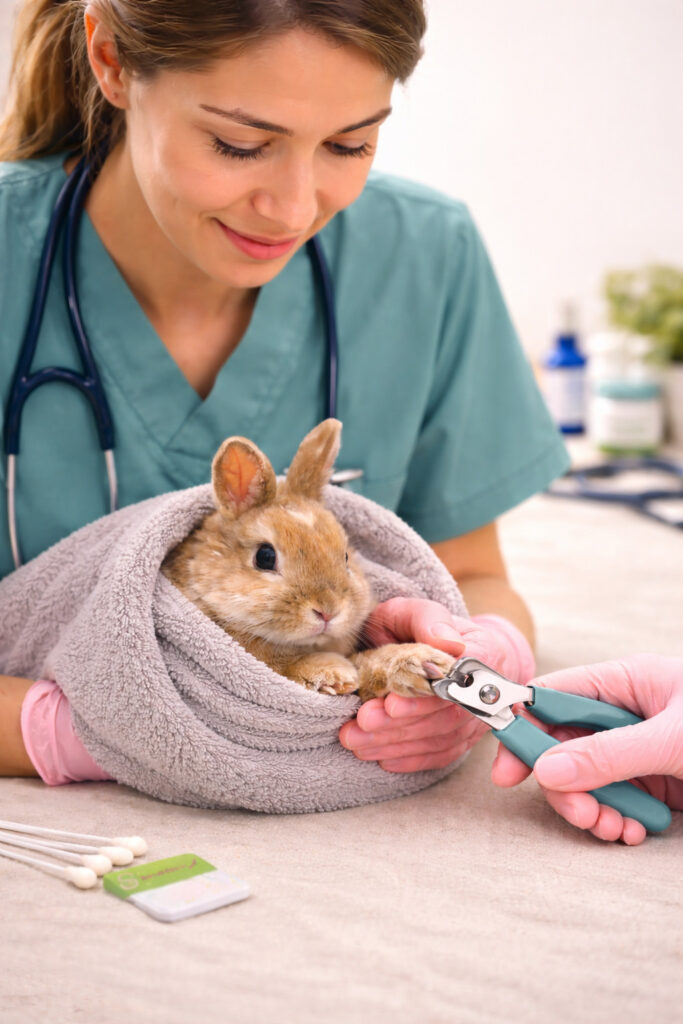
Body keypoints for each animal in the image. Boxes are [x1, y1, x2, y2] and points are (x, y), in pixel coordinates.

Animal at [162, 419, 456, 702]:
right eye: (265, 557)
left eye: (345, 557)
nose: (328, 611)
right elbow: (280, 664)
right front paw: (332, 672)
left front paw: (422, 663)